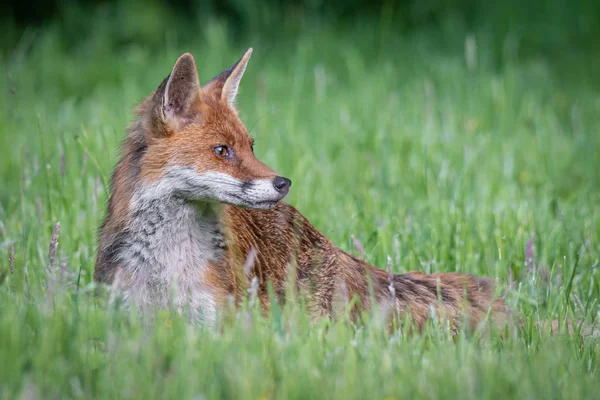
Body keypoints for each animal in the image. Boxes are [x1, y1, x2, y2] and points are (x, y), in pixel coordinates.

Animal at [96, 49, 508, 332]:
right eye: (222, 151)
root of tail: (332, 247)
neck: (169, 265)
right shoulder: (129, 319)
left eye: (251, 146)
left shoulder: (222, 323)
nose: (283, 183)